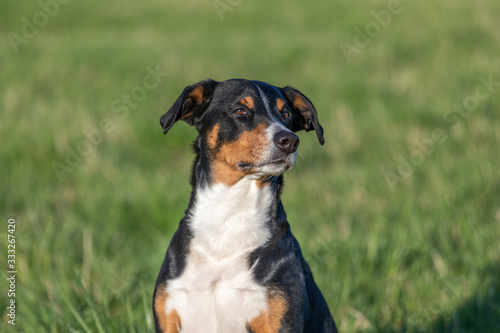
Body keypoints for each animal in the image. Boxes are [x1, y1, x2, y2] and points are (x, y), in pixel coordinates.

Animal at [153, 78, 336, 332]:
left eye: (286, 114)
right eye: (240, 110)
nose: (290, 141)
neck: (229, 220)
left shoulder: (279, 320)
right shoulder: (168, 313)